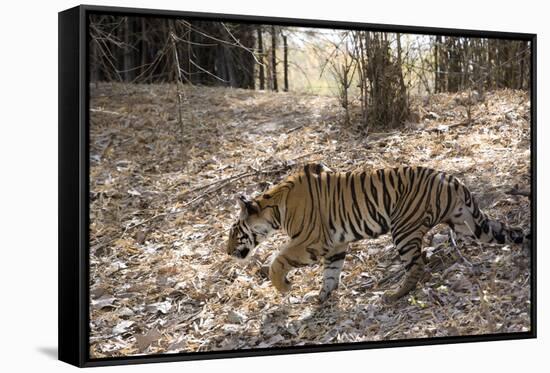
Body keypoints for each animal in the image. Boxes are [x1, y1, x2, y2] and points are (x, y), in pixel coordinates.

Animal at [226, 163, 532, 302]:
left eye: (233, 231)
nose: (226, 251)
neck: (275, 209)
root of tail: (452, 179)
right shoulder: (335, 244)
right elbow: (331, 272)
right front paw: (322, 298)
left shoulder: (311, 240)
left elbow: (278, 260)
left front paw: (285, 287)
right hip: (468, 223)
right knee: (506, 232)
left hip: (404, 228)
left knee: (417, 266)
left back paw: (394, 295)